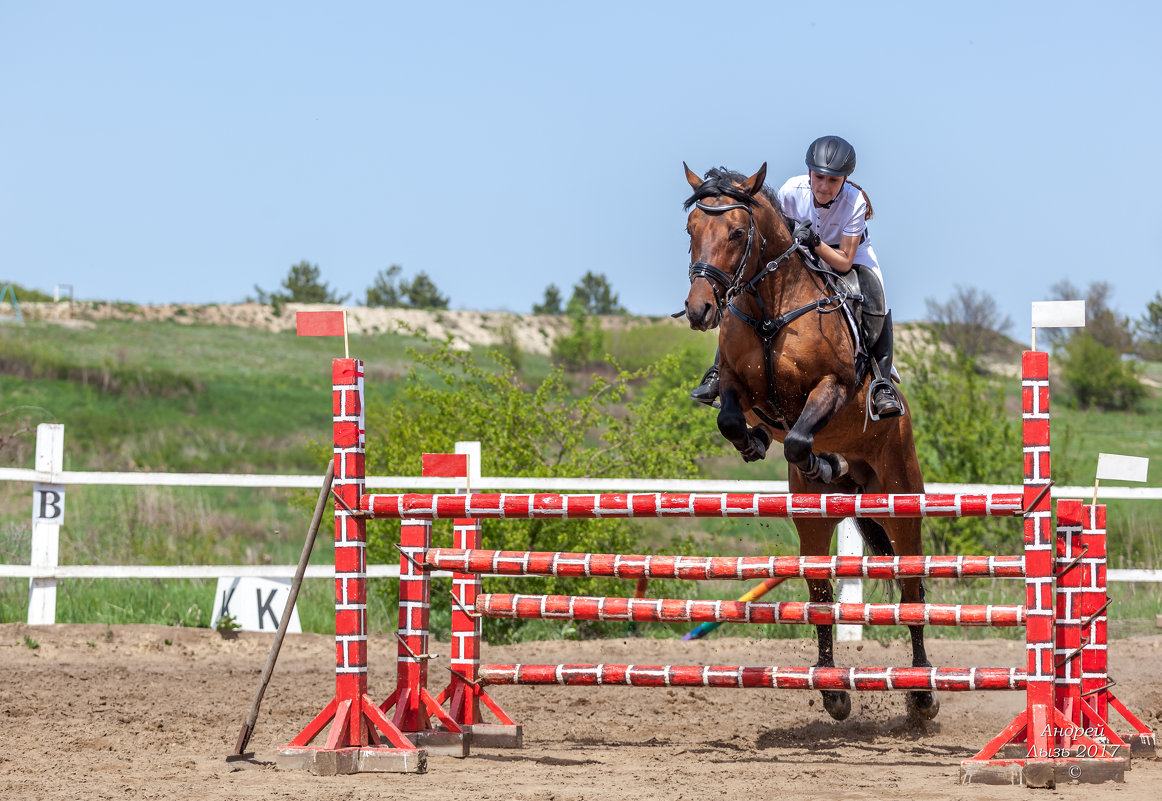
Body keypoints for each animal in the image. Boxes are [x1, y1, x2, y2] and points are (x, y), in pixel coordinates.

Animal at [678, 163, 938, 725]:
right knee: (820, 592)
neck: (769, 306)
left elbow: (799, 437)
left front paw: (823, 458)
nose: (700, 309)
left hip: (902, 502)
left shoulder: (832, 389)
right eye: (691, 229)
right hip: (814, 522)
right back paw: (833, 689)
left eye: (737, 233)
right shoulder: (736, 384)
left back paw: (922, 693)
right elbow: (731, 418)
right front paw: (755, 442)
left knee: (911, 589)